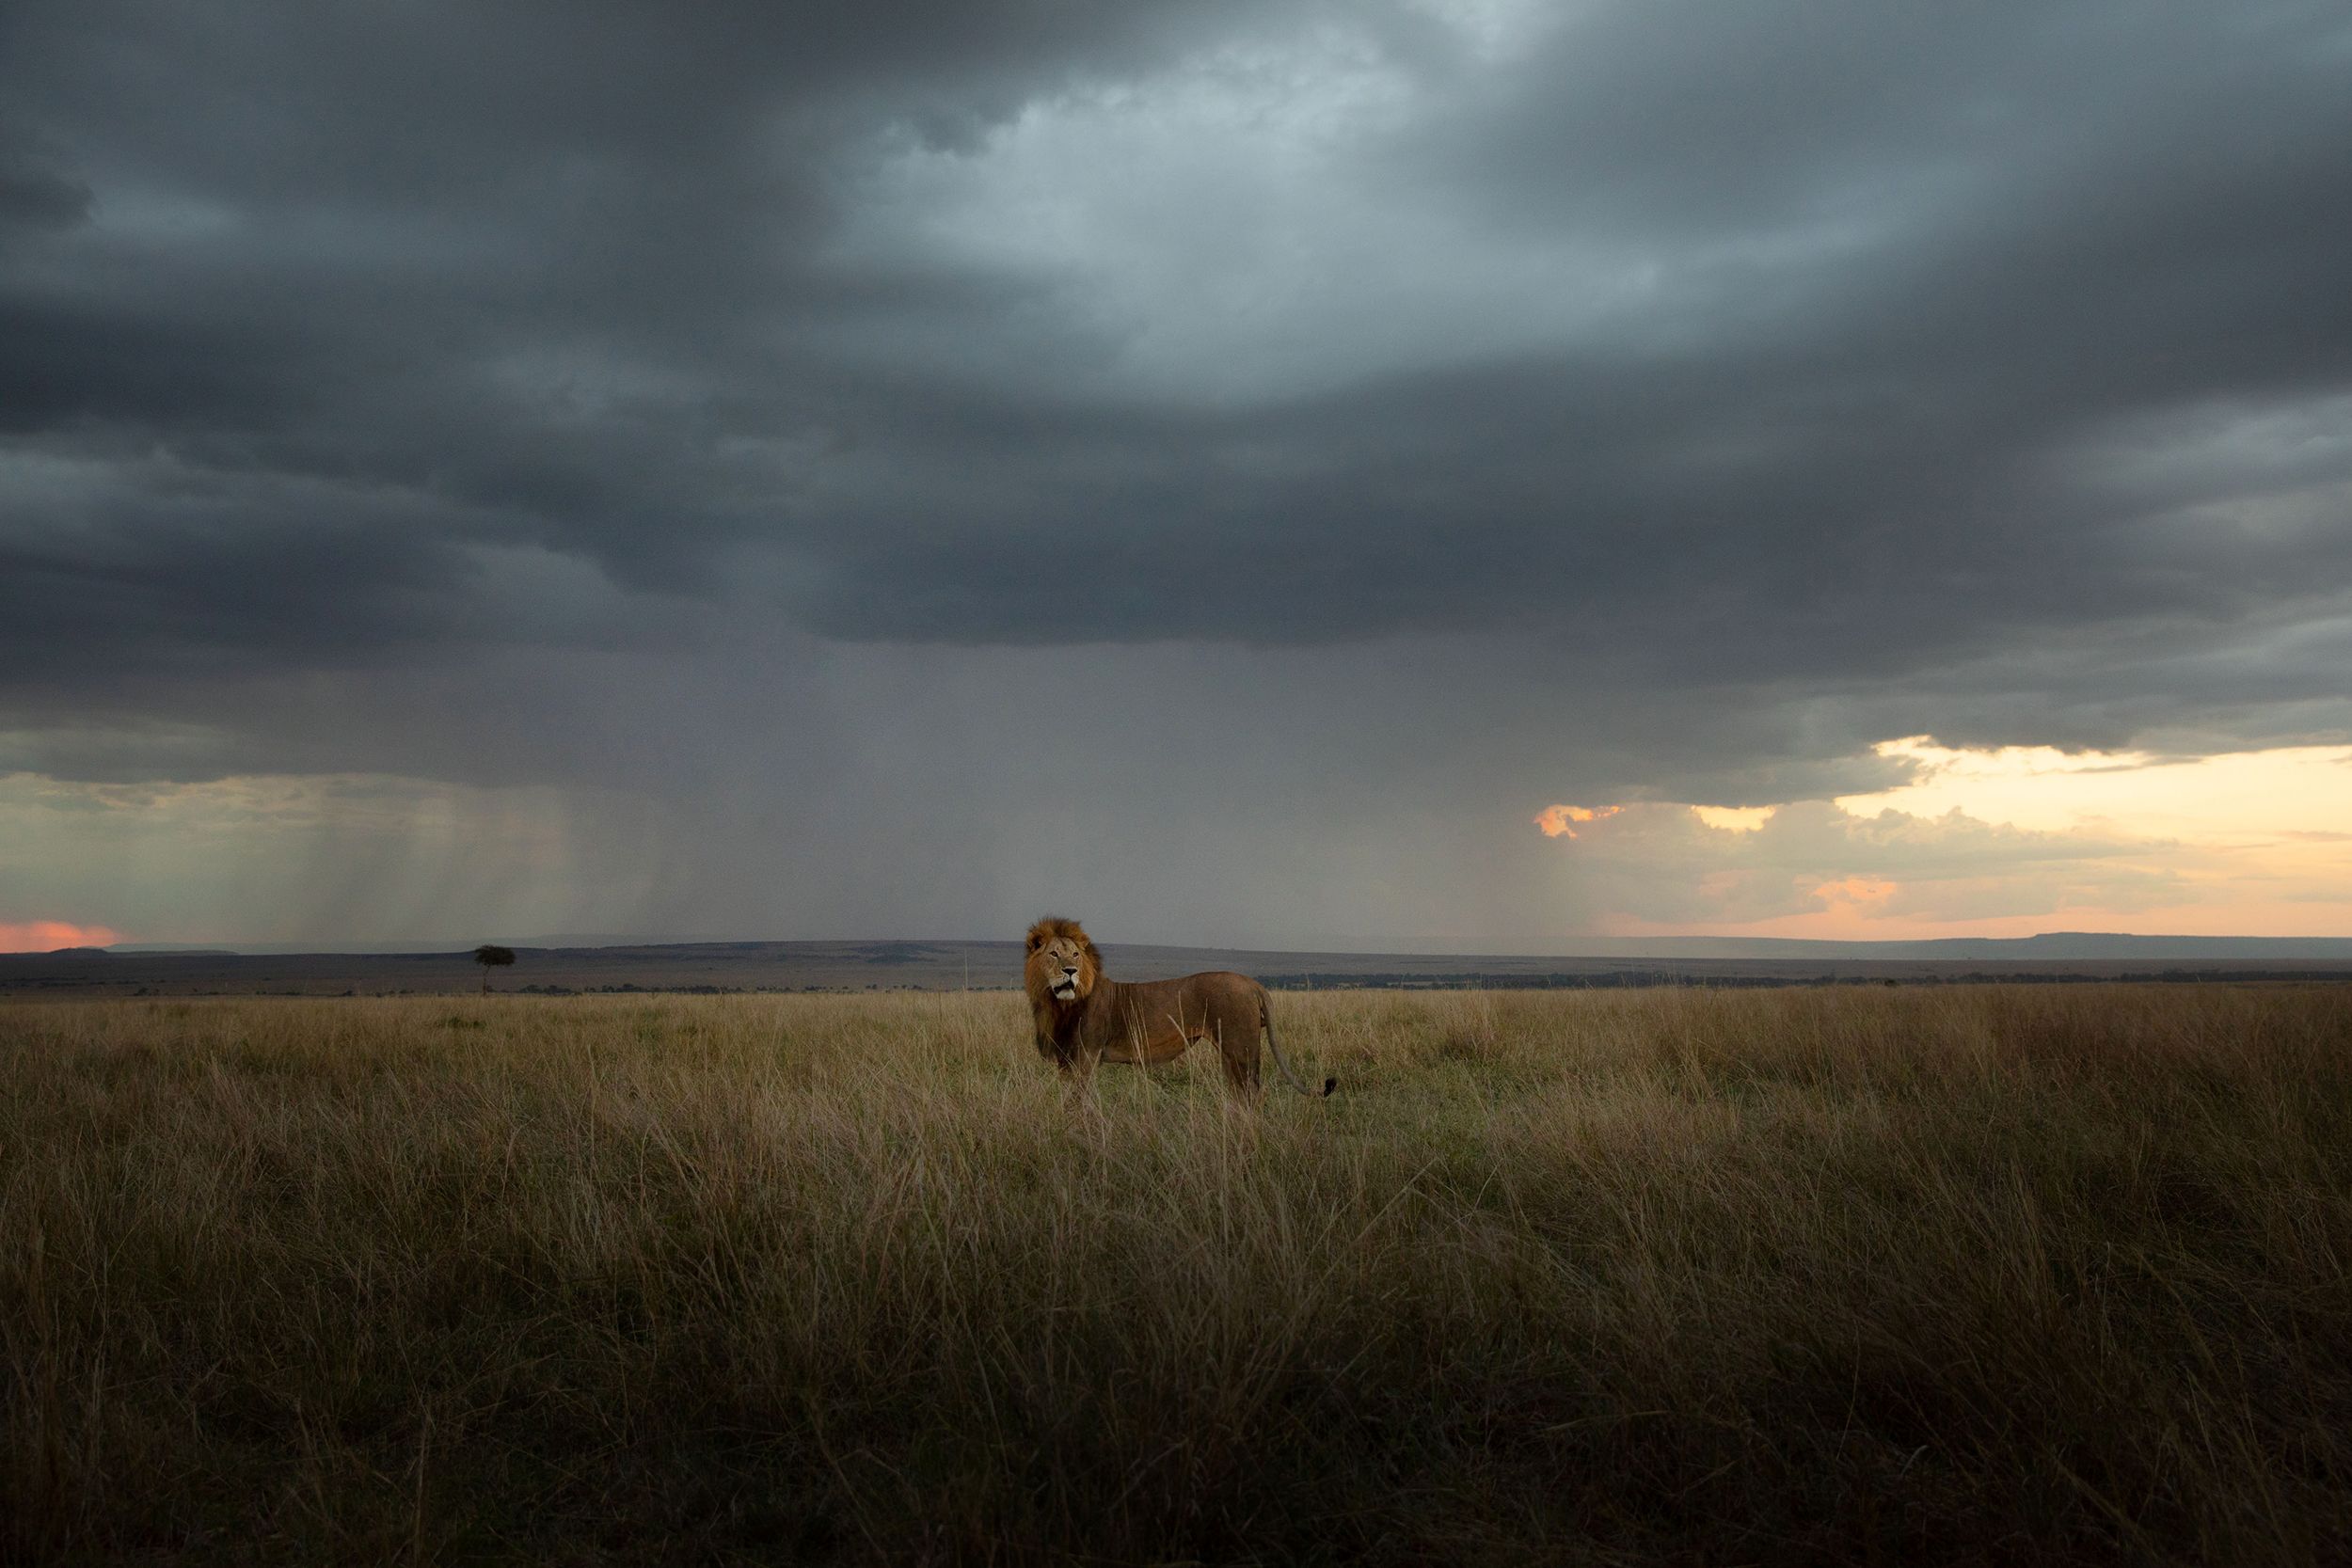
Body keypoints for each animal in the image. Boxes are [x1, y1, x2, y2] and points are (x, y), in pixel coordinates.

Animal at [1024, 916, 1334, 1100]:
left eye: (1075, 954)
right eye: (1054, 954)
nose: (1071, 971)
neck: (1057, 1004)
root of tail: (1252, 983)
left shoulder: (1087, 1055)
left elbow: (1080, 1102)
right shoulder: (1066, 1061)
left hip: (1241, 1048)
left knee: (1251, 1094)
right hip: (1231, 1052)